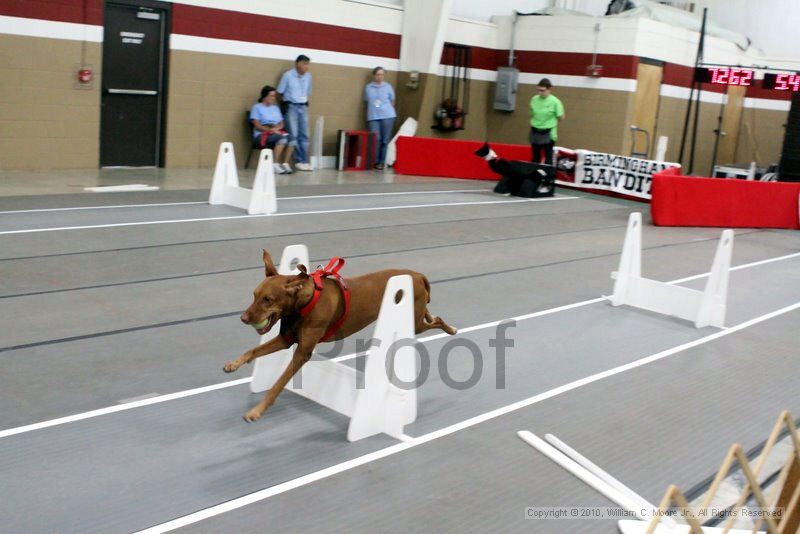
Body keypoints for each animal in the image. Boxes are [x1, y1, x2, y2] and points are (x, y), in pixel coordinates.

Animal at [223, 250, 456, 422]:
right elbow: (252, 351)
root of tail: (417, 274)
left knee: (437, 320)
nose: (243, 317)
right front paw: (233, 364)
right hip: (415, 315)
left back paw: (451, 329)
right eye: (254, 295)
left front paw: (256, 411)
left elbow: (277, 385)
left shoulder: (302, 353)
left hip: (413, 321)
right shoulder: (286, 340)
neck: (304, 303)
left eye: (268, 299)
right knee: (432, 315)